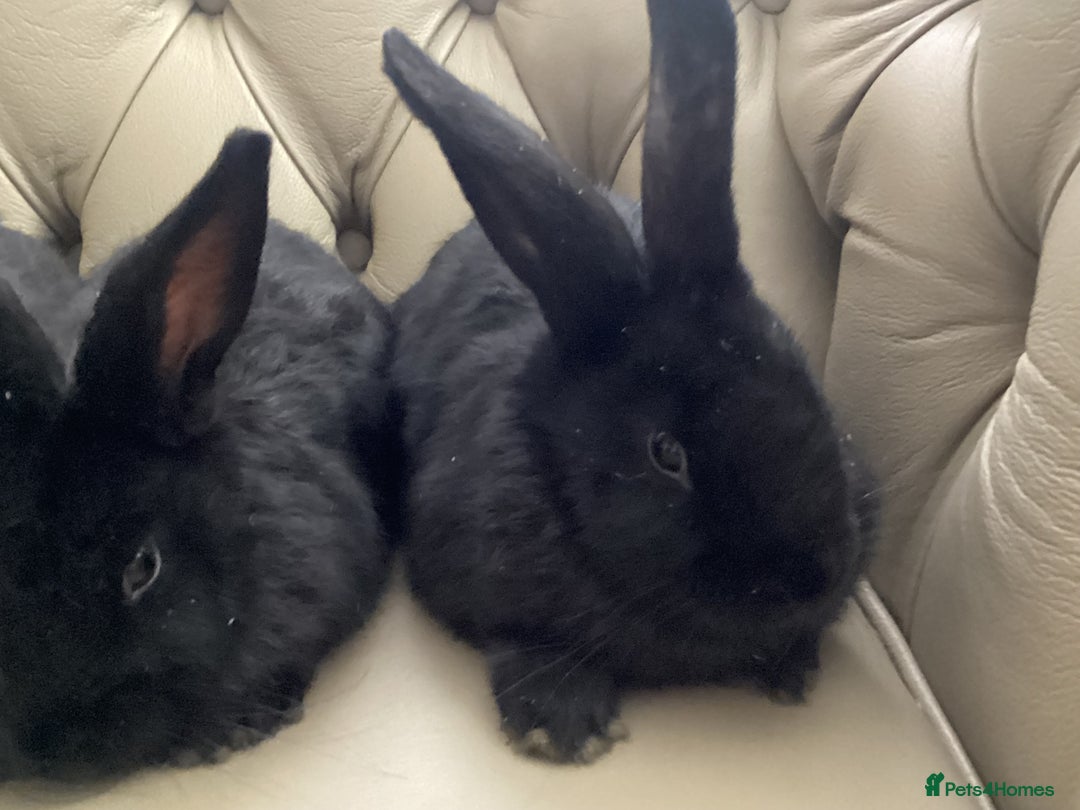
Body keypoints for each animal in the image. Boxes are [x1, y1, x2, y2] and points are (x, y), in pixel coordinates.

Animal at [382, 0, 879, 766]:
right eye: (665, 454)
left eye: (809, 388)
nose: (810, 580)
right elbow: (525, 638)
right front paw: (562, 724)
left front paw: (792, 670)